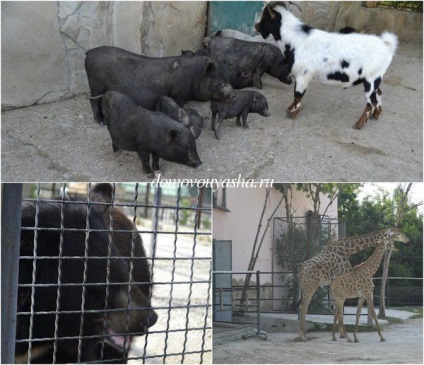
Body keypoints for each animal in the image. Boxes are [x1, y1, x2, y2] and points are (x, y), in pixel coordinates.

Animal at [84, 45, 234, 124]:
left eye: (227, 78)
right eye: (218, 82)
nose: (232, 95)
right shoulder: (179, 94)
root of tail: (89, 52)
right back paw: (101, 122)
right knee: (93, 101)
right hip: (96, 84)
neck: (195, 76)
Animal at [256, 1, 400, 129]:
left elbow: (298, 94)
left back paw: (359, 124)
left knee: (371, 102)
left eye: (264, 16)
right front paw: (290, 108)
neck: (296, 39)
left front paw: (292, 113)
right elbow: (296, 94)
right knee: (379, 93)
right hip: (375, 78)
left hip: (371, 79)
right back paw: (376, 115)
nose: (256, 26)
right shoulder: (299, 75)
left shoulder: (303, 74)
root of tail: (387, 46)